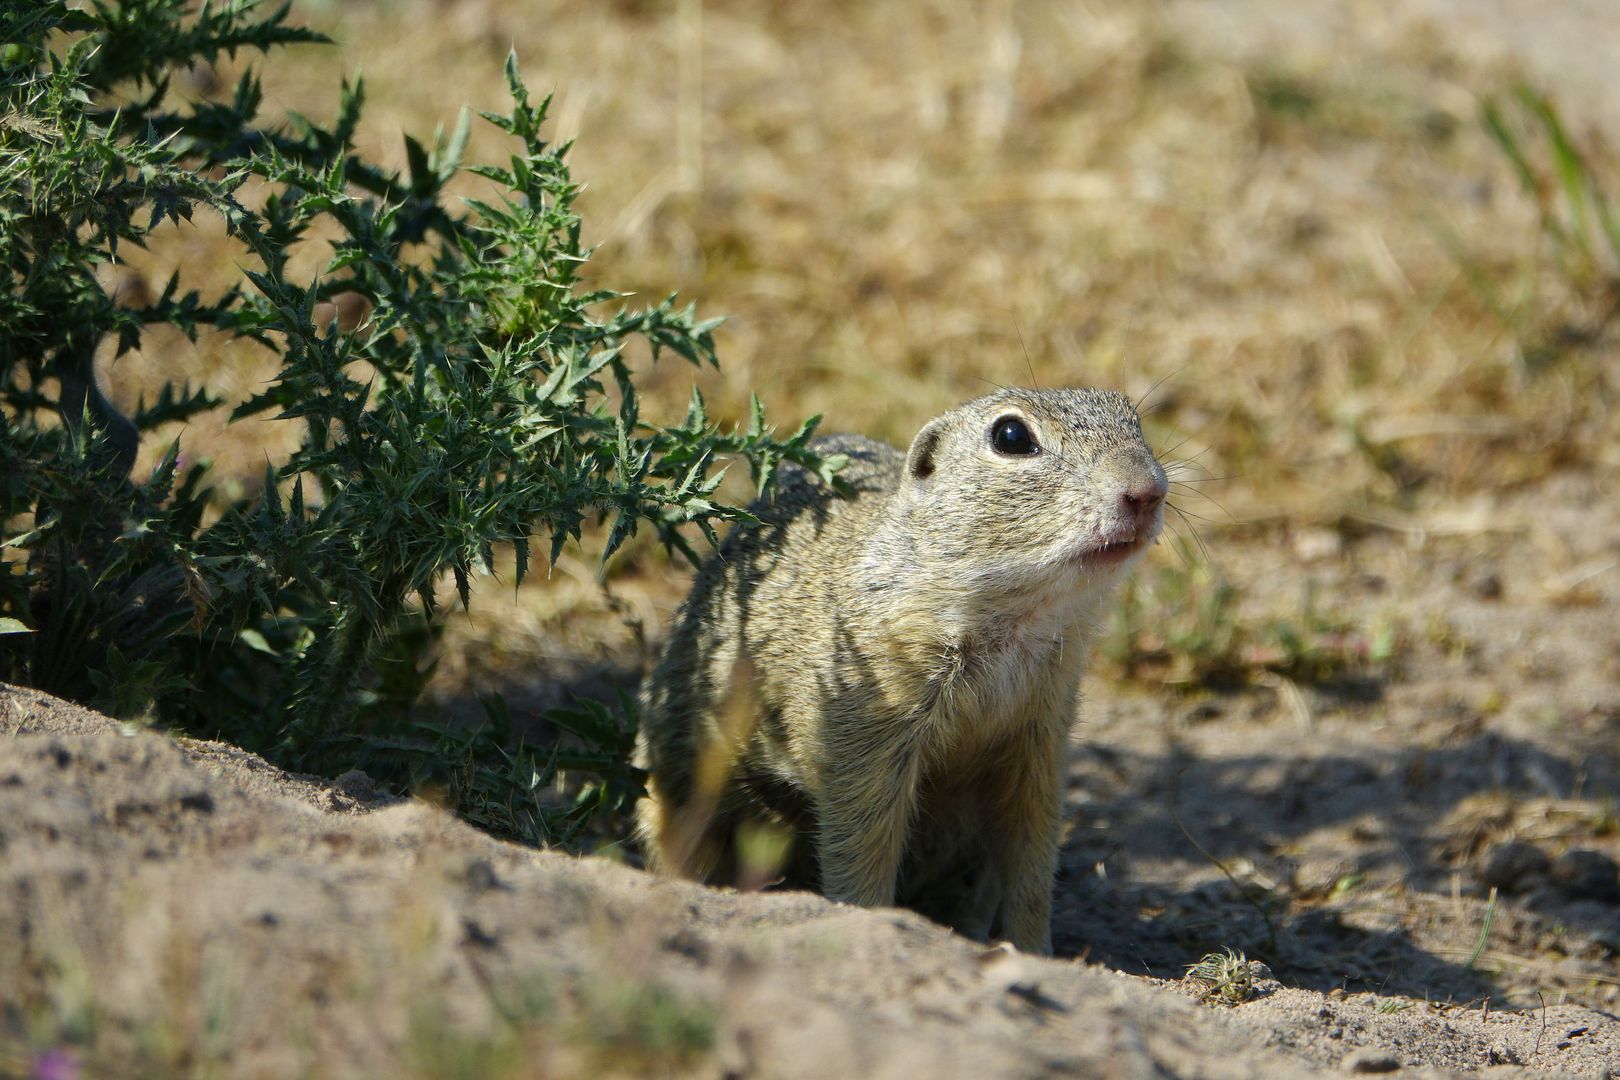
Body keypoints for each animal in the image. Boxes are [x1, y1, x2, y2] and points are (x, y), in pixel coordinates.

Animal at [631, 390, 1166, 952]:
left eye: (1131, 415)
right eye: (1011, 436)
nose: (1148, 491)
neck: (1018, 624)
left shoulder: (1039, 740)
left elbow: (1032, 858)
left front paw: (1031, 950)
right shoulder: (862, 734)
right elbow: (861, 845)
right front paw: (865, 921)